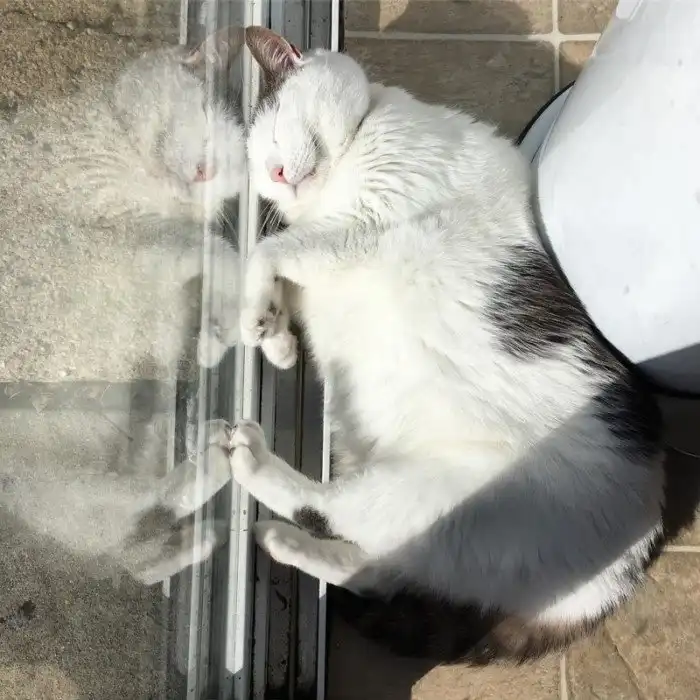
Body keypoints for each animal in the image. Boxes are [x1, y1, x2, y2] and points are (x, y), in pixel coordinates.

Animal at [0, 27, 245, 584]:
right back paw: (206, 461)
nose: (206, 170)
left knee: (128, 541)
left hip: (60, 491)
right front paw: (222, 330)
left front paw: (212, 339)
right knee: (132, 505)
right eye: (204, 106)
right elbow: (221, 250)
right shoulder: (121, 238)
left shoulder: (160, 302)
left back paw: (196, 518)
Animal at [210, 26, 684, 663]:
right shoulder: (324, 253)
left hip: (432, 493)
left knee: (332, 512)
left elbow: (270, 250)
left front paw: (261, 320)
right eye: (260, 164)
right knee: (373, 568)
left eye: (278, 125)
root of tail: (616, 578)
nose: (279, 171)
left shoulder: (364, 227)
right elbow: (284, 269)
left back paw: (254, 464)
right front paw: (277, 338)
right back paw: (283, 544)